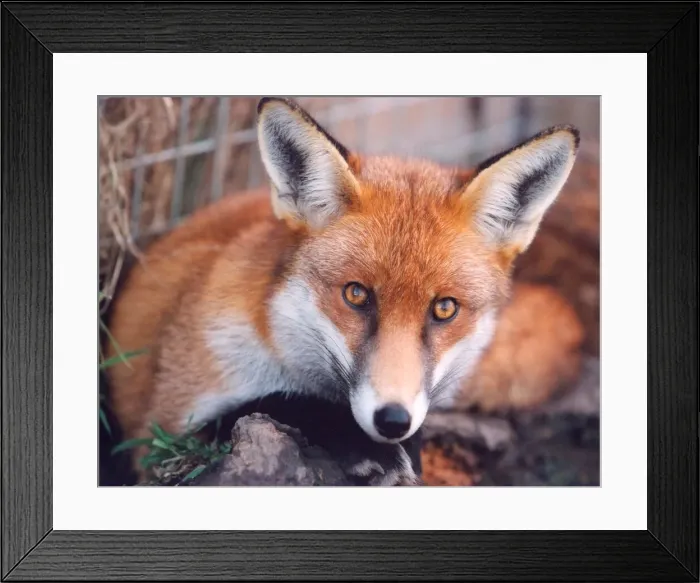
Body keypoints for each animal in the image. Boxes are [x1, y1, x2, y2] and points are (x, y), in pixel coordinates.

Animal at [104, 97, 584, 485]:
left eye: (445, 309)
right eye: (356, 295)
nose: (393, 420)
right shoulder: (158, 436)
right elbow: (267, 404)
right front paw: (361, 443)